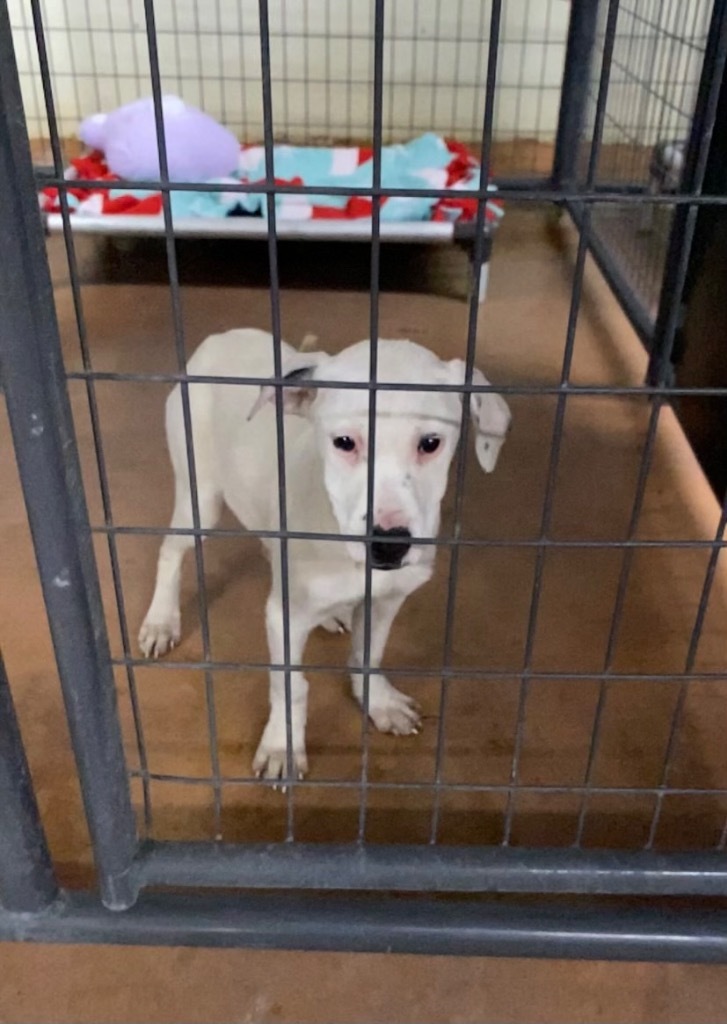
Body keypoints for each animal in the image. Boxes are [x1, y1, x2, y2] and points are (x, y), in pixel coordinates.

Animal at [138, 331, 511, 778]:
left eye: (431, 443)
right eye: (344, 442)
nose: (389, 544)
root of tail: (221, 337)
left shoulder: (387, 599)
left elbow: (369, 653)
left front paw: (379, 702)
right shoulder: (283, 617)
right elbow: (290, 685)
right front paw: (282, 745)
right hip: (200, 499)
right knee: (169, 551)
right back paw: (161, 621)